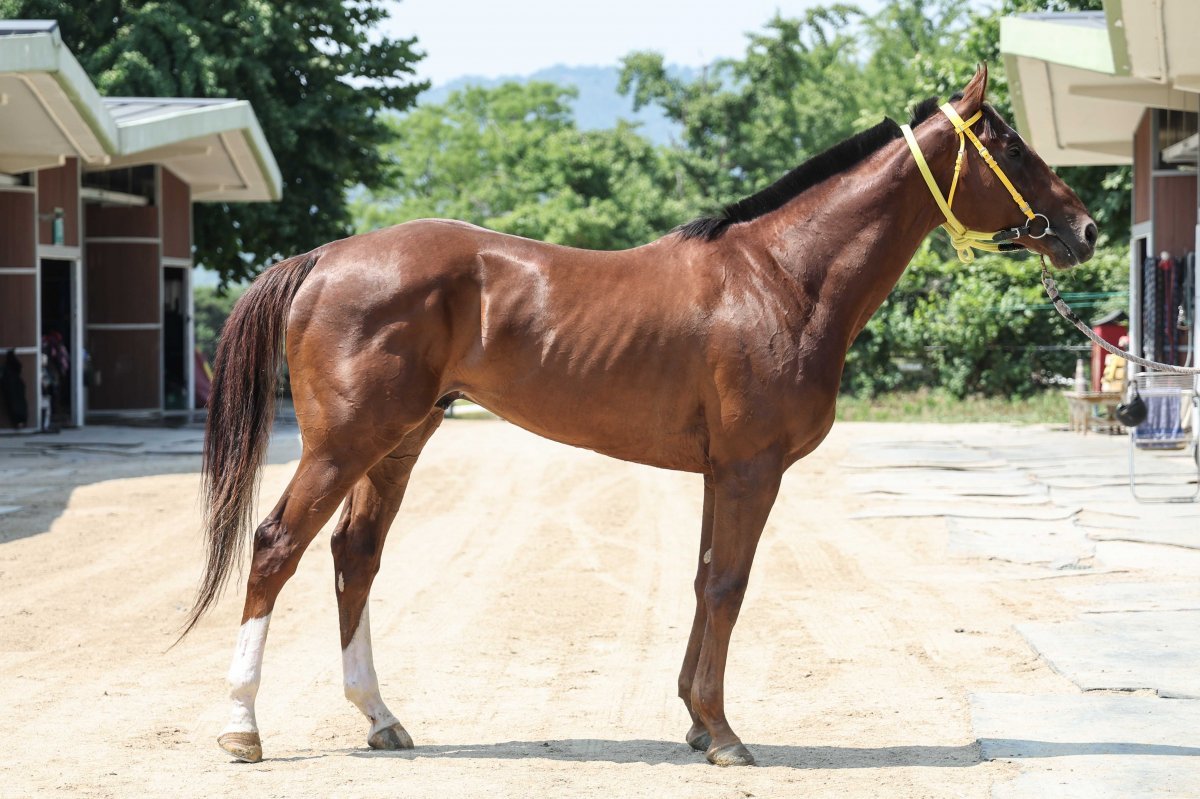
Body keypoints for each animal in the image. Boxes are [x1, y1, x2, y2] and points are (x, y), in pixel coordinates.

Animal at [187, 65, 1099, 763]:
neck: (783, 276)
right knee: (276, 546)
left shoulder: (720, 473)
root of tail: (325, 257)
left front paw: (696, 721)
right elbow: (729, 584)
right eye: (1010, 145)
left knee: (355, 556)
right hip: (344, 444)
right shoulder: (751, 470)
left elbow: (704, 579)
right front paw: (724, 733)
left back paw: (381, 717)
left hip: (399, 443)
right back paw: (241, 727)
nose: (1084, 228)